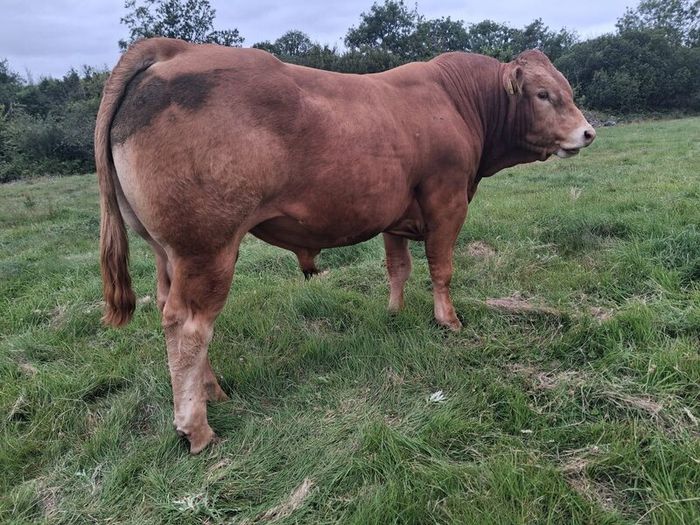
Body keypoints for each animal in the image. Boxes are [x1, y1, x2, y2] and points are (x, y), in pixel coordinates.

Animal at [95, 37, 595, 453]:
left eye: (565, 89)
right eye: (543, 94)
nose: (588, 132)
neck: (456, 102)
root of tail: (173, 51)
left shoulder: (396, 215)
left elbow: (398, 267)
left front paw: (394, 313)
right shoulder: (447, 201)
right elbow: (442, 268)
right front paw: (448, 321)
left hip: (168, 253)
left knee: (172, 312)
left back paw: (213, 391)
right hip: (207, 249)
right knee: (189, 328)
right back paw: (196, 428)